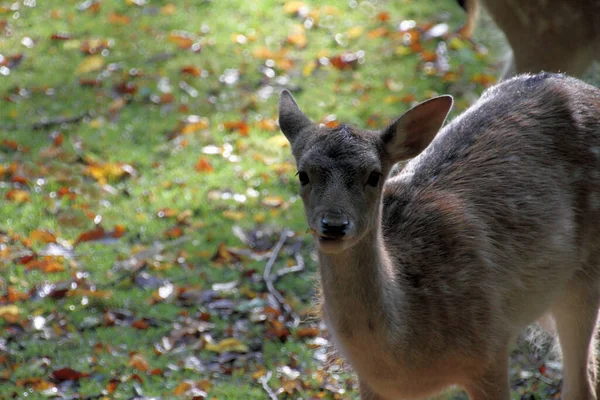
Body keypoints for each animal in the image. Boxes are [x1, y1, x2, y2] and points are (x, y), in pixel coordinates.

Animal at [278, 70, 600, 398]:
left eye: (374, 175)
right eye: (303, 174)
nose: (333, 224)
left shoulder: (489, 349)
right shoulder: (370, 382)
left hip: (584, 279)